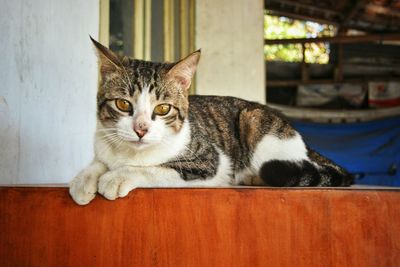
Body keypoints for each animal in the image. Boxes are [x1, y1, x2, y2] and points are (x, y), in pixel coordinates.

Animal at [69, 37, 354, 205]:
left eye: (163, 108)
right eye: (123, 104)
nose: (141, 129)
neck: (129, 153)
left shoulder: (210, 163)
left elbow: (155, 168)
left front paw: (117, 176)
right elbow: (99, 162)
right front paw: (83, 179)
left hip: (257, 125)